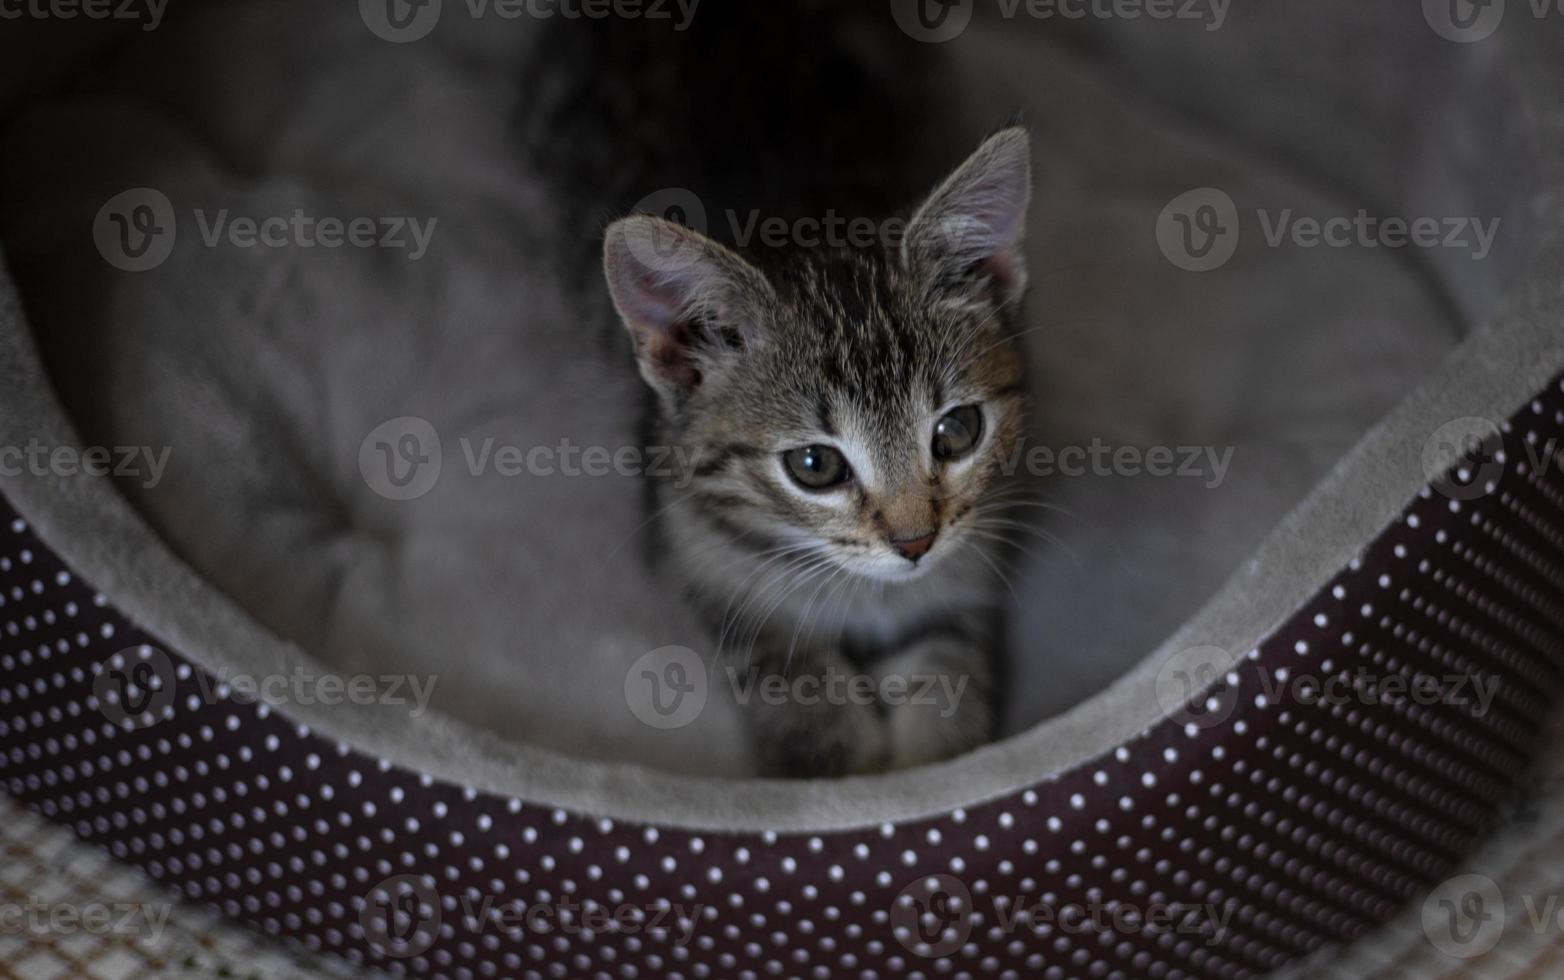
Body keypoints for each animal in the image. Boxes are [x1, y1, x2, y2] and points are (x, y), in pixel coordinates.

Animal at [594, 128, 1025, 775]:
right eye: (815, 466)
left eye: (957, 431)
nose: (915, 544)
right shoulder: (699, 554)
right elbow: (795, 680)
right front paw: (846, 761)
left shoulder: (964, 575)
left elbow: (948, 668)